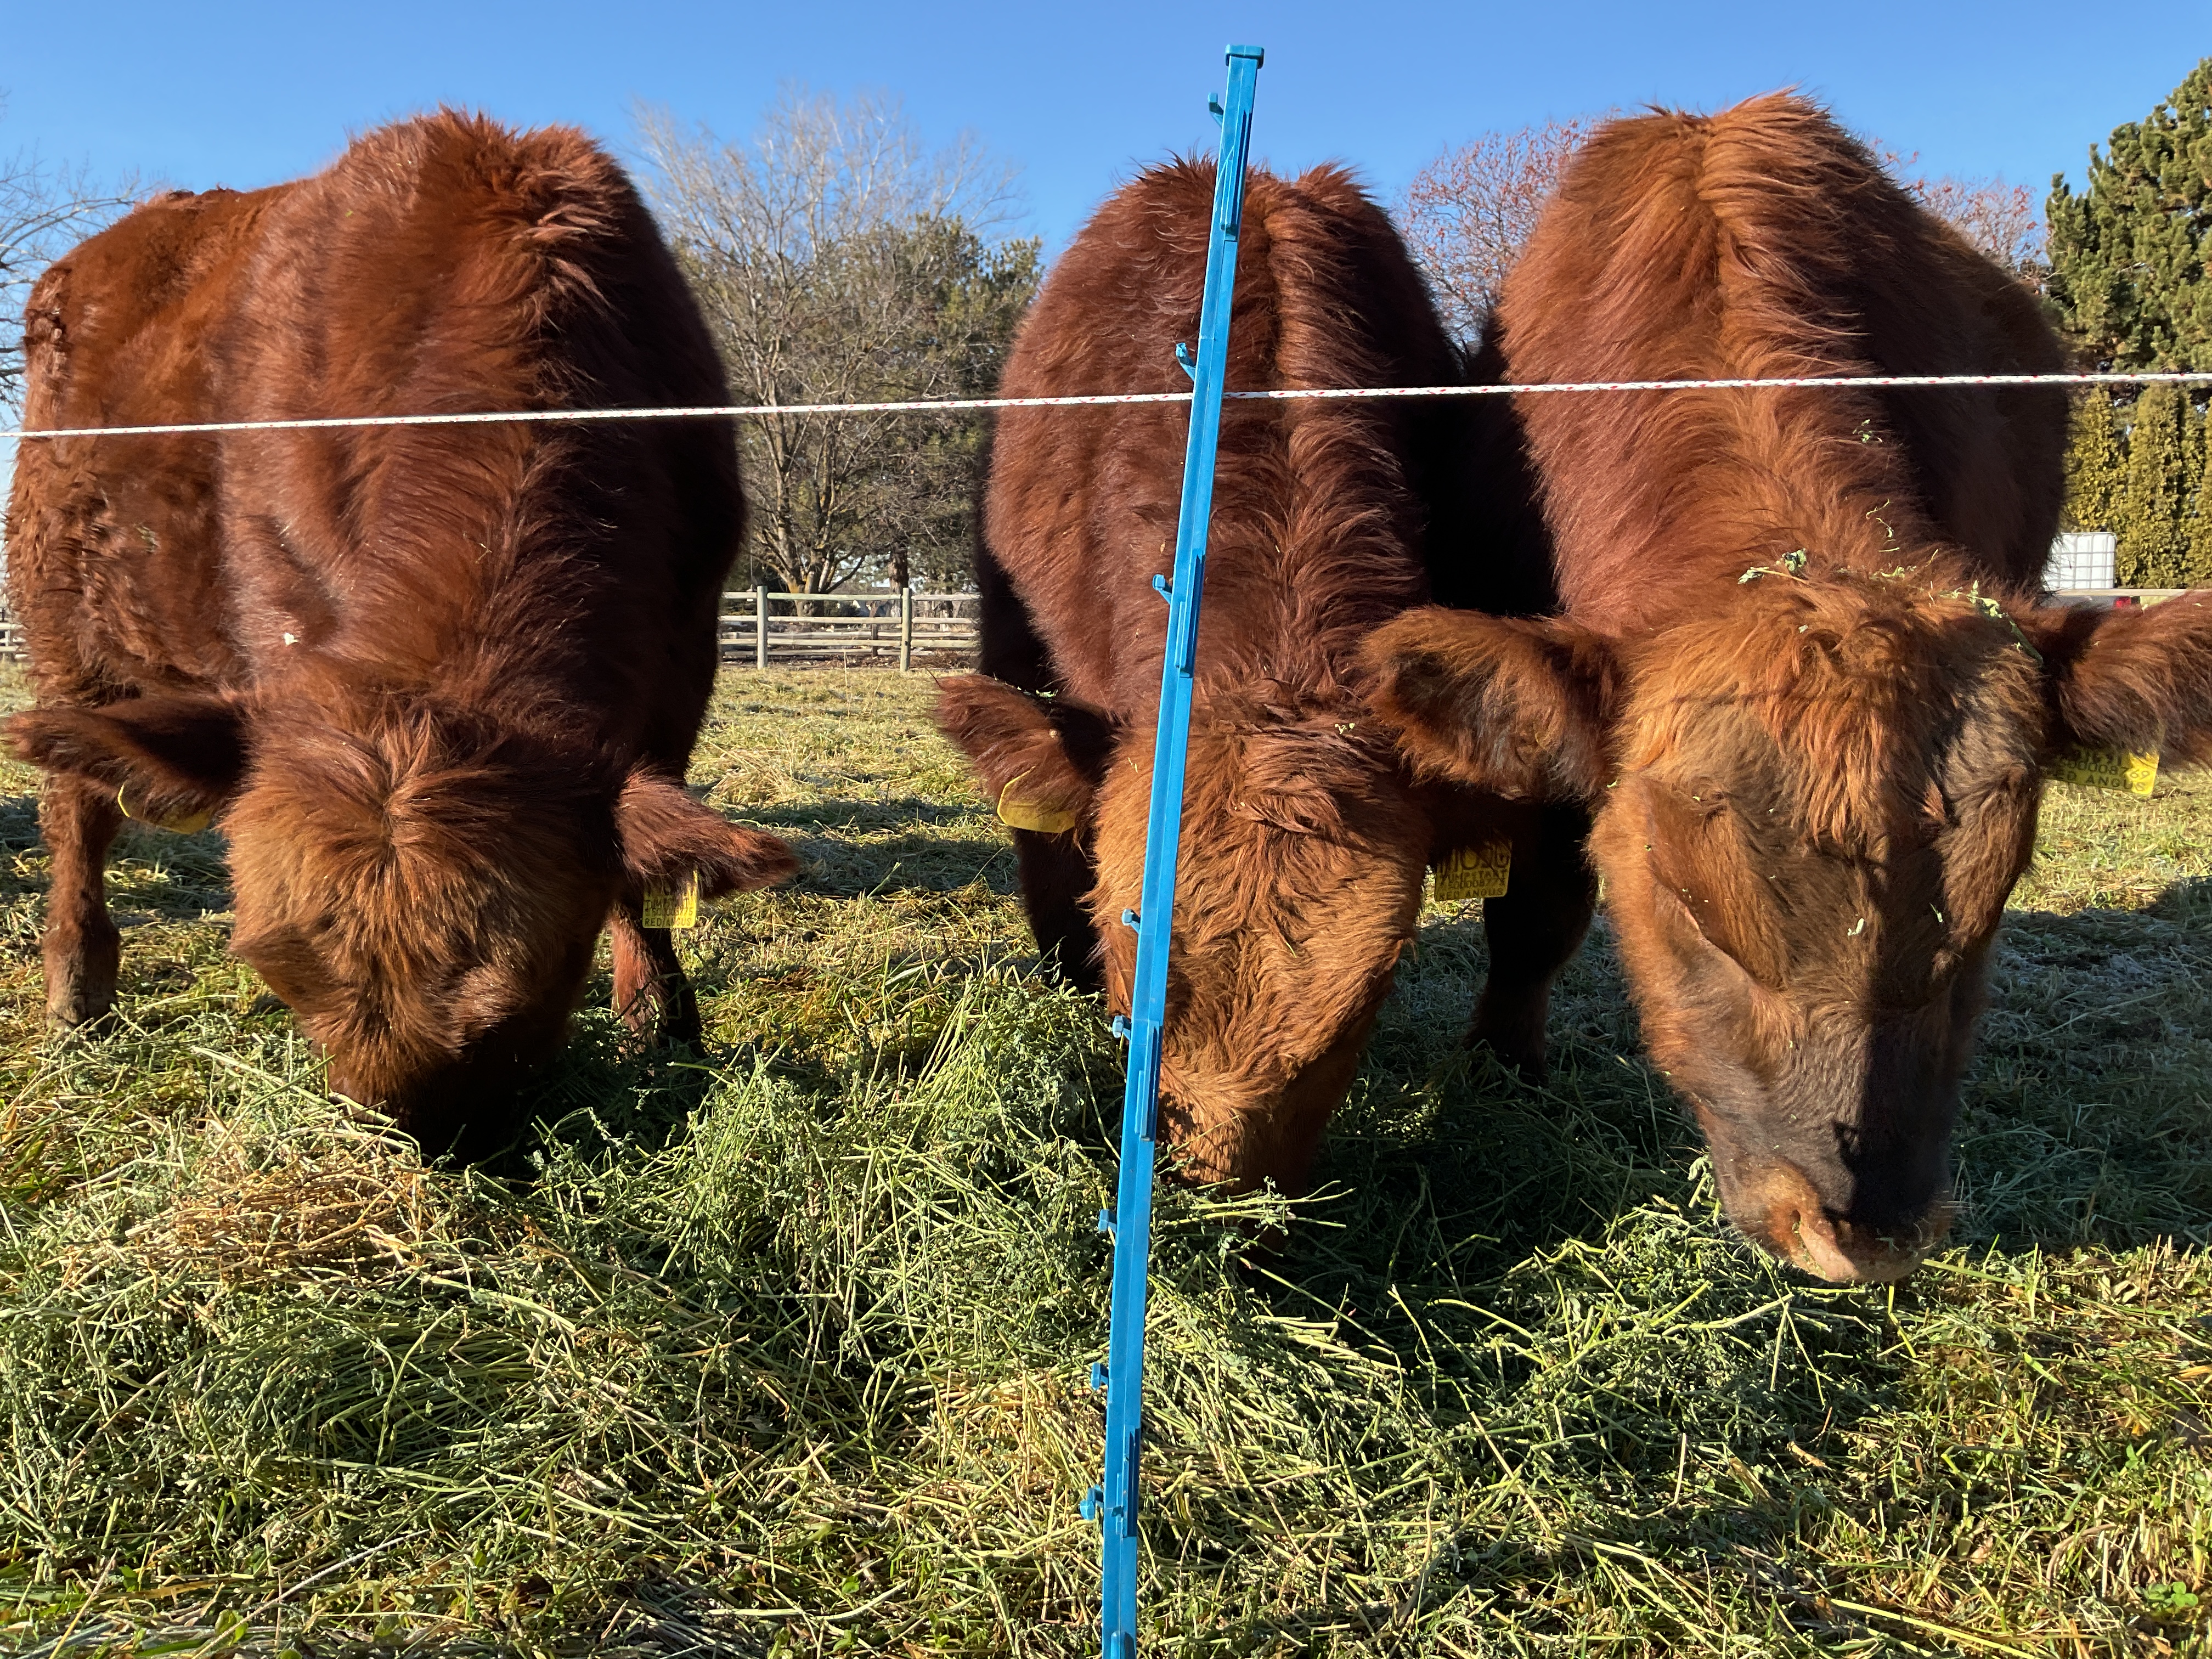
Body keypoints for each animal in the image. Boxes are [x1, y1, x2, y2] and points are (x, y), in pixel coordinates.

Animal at [4, 110, 800, 1150]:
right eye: (285, 971)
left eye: (518, 997)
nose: (410, 1142)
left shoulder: (685, 645)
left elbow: (649, 854)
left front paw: (662, 1027)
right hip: (63, 626)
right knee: (78, 806)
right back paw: (76, 985)